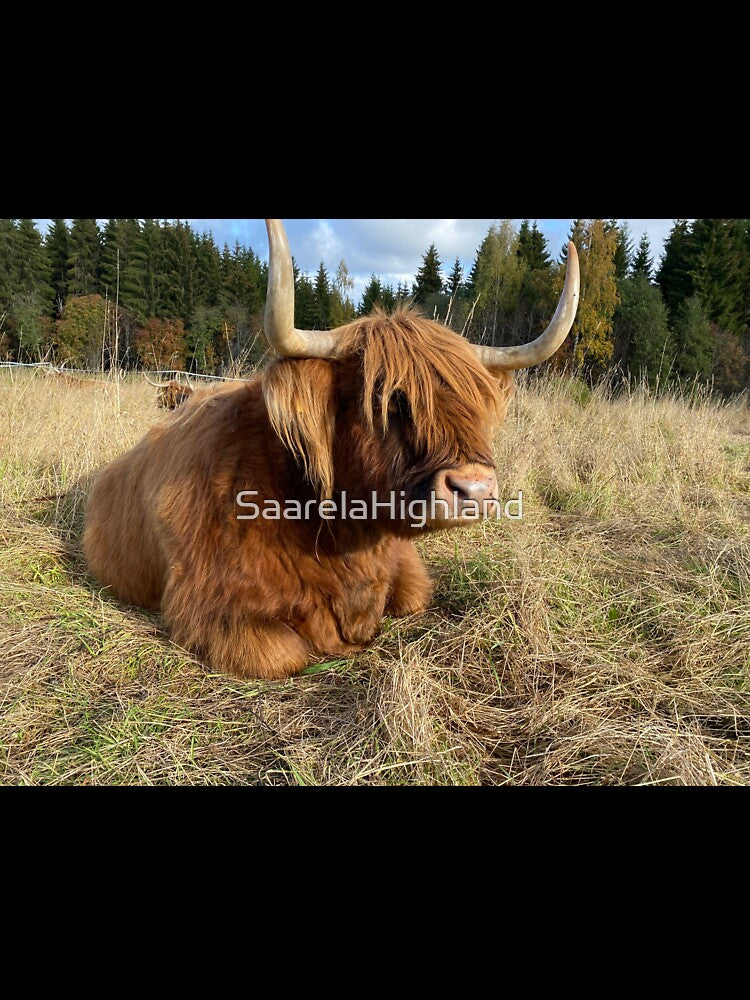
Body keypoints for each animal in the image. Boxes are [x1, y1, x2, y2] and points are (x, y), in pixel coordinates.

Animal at [83, 219, 579, 679]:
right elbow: (286, 653)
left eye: (473, 400)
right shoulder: (206, 607)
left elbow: (414, 596)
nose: (474, 489)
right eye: (386, 398)